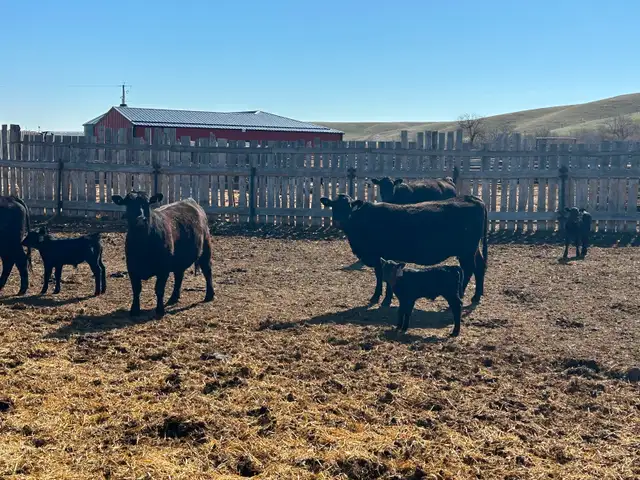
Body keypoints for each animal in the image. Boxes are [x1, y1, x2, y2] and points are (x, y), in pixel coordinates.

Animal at [320, 193, 488, 307]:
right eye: (333, 205)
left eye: (349, 206)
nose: (339, 221)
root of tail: (473, 198)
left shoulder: (379, 255)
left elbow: (381, 275)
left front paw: (379, 298)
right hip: (473, 250)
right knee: (480, 266)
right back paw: (476, 296)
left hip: (466, 251)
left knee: (469, 269)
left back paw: (462, 293)